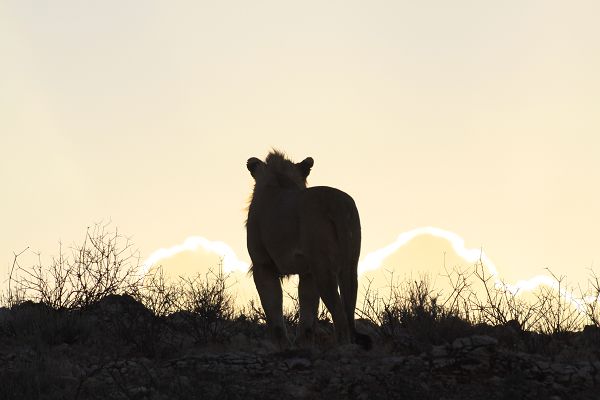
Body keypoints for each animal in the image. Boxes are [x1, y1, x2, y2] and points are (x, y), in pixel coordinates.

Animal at [245, 150, 370, 350]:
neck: (280, 180)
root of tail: (337, 202)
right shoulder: (308, 272)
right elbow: (307, 310)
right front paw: (302, 344)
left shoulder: (262, 264)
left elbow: (273, 305)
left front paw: (281, 345)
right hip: (350, 265)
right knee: (348, 307)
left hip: (323, 267)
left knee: (340, 315)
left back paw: (342, 348)